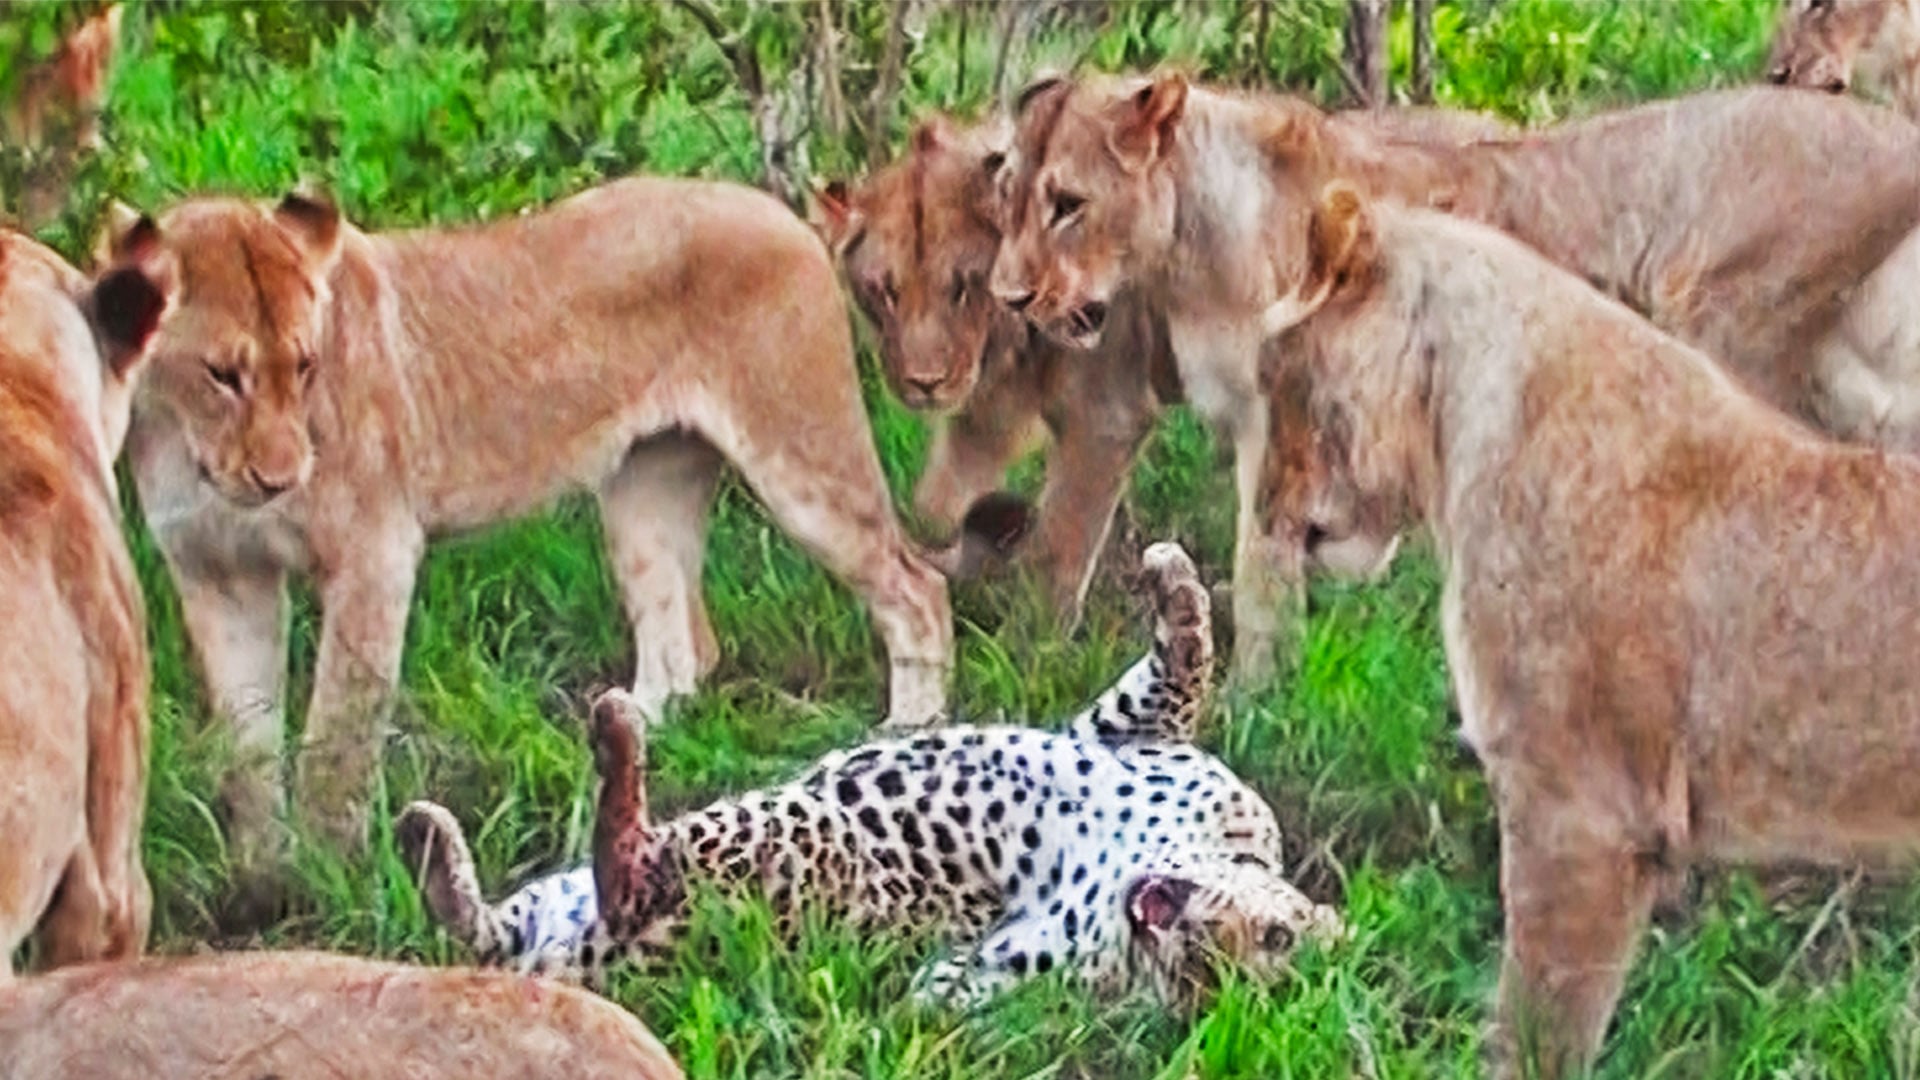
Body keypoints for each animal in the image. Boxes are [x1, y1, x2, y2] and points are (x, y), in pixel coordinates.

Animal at [111, 177, 973, 903]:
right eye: (222, 373)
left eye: (306, 364)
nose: (282, 477)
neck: (192, 452)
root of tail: (776, 209)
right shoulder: (218, 577)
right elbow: (245, 746)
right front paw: (261, 877)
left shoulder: (373, 552)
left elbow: (336, 733)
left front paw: (332, 874)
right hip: (643, 492)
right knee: (682, 652)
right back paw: (610, 736)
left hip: (800, 454)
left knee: (914, 586)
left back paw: (908, 728)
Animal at [398, 540, 1342, 1011]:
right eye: (1276, 938)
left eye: (1215, 983)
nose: (1196, 947)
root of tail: (592, 971)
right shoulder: (1140, 739)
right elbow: (1184, 666)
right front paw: (1171, 573)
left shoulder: (1026, 969)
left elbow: (941, 994)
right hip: (553, 906)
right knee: (487, 930)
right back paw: (428, 842)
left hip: (789, 848)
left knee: (636, 867)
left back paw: (616, 734)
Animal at [991, 74, 1920, 680]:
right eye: (1006, 201)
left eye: (1068, 204)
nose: (1010, 297)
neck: (1191, 243)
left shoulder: (1280, 417)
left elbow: (1264, 566)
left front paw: (1256, 698)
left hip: (1725, 323)